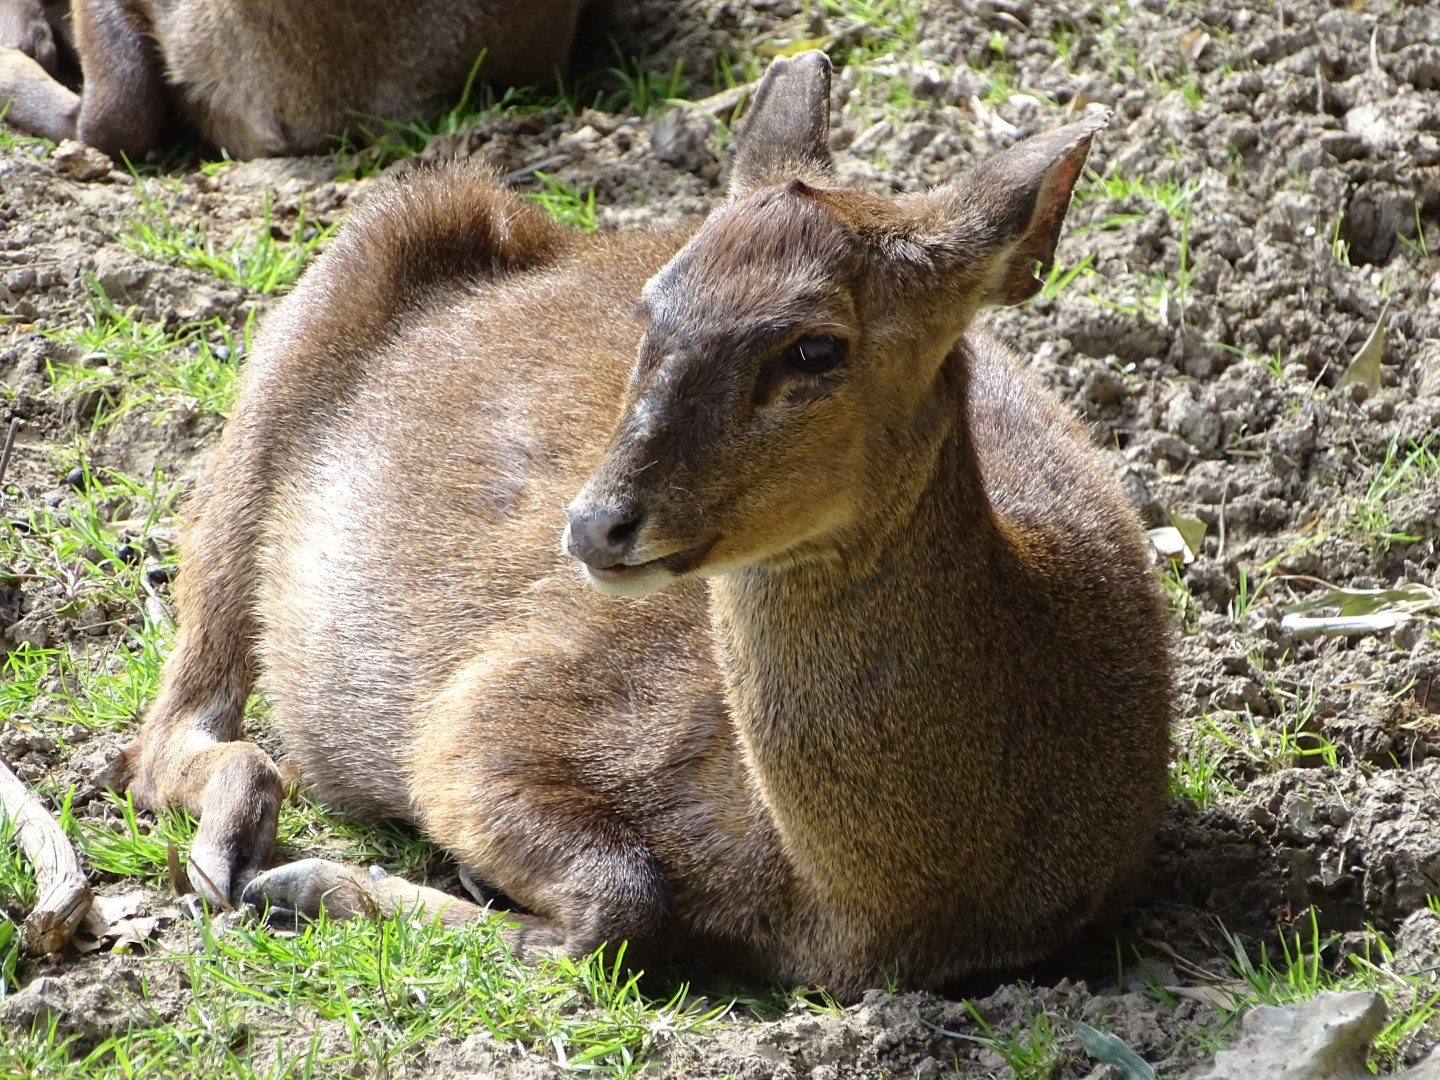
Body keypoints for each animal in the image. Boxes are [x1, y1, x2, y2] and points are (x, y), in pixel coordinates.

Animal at [110, 51, 1173, 999]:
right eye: (651, 306)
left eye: (816, 346)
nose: (594, 525)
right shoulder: (483, 713)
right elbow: (620, 903)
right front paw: (314, 884)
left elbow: (619, 914)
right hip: (303, 335)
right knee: (168, 726)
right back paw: (234, 847)